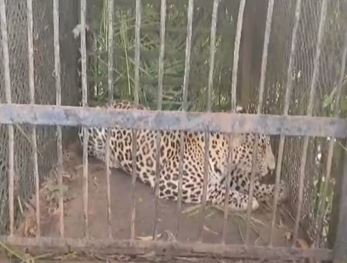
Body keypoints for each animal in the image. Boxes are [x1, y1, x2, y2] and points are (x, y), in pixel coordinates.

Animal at [79, 100, 288, 212]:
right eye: (260, 147)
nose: (273, 168)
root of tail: (105, 103)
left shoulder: (229, 174)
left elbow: (248, 182)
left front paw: (278, 190)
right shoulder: (173, 180)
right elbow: (214, 189)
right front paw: (246, 201)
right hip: (91, 131)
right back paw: (111, 160)